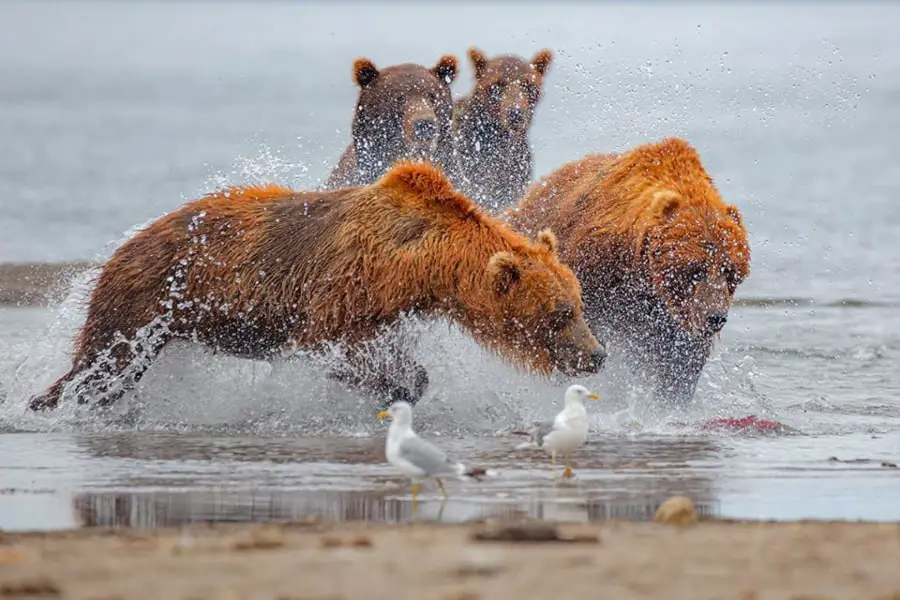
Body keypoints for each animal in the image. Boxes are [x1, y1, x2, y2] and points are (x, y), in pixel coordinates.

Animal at [29, 161, 604, 412]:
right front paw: (395, 381)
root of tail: (121, 247)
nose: (597, 355)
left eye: (579, 304)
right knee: (104, 362)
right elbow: (330, 346)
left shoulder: (391, 305)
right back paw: (52, 401)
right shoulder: (345, 286)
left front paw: (401, 381)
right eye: (559, 313)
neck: (423, 264)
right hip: (145, 301)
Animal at [506, 138, 752, 406]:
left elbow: (683, 359)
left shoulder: (674, 315)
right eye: (695, 269)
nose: (715, 317)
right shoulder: (594, 269)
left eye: (730, 271)